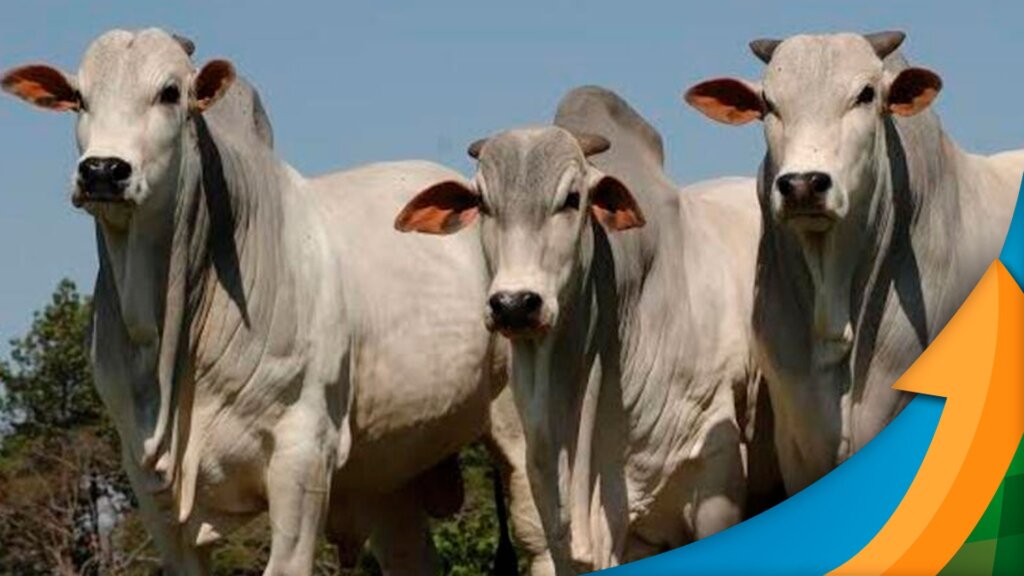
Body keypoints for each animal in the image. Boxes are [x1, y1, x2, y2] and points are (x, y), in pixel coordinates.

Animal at [0, 28, 524, 573]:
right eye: (80, 98)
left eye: (170, 92)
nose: (103, 170)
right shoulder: (144, 474)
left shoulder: (303, 450)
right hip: (392, 473)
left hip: (519, 427)